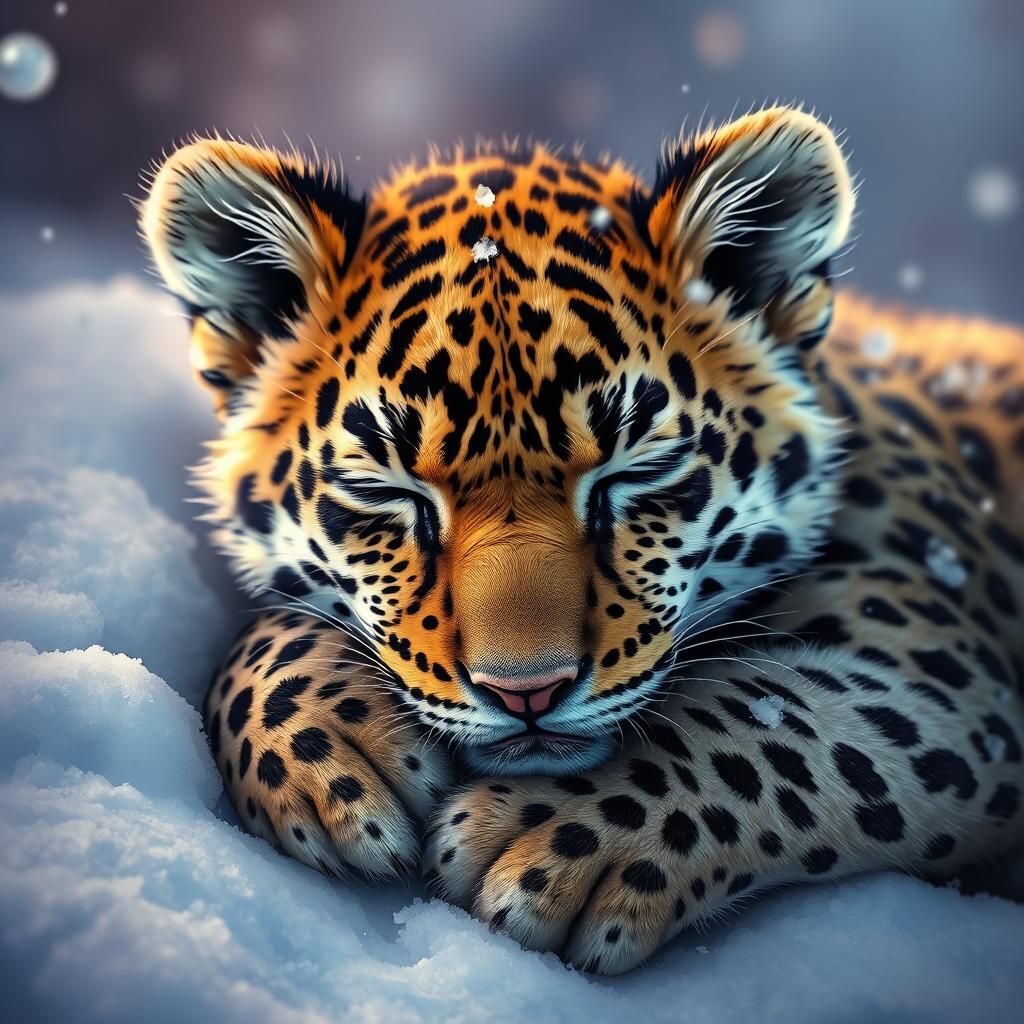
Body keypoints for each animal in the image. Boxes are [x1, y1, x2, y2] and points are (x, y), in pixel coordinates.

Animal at [140, 106, 1024, 974]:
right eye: (384, 491)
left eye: (639, 470)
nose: (525, 693)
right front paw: (322, 751)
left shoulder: (947, 675)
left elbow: (771, 720)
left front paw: (552, 839)